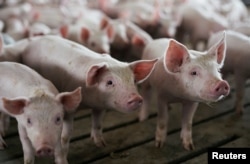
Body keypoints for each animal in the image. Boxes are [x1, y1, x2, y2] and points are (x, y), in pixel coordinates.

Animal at [0, 34, 157, 147]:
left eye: (134, 80)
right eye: (109, 82)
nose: (136, 98)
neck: (90, 101)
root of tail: (27, 43)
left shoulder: (100, 107)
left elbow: (98, 123)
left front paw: (101, 144)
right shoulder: (68, 107)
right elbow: (67, 132)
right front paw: (63, 143)